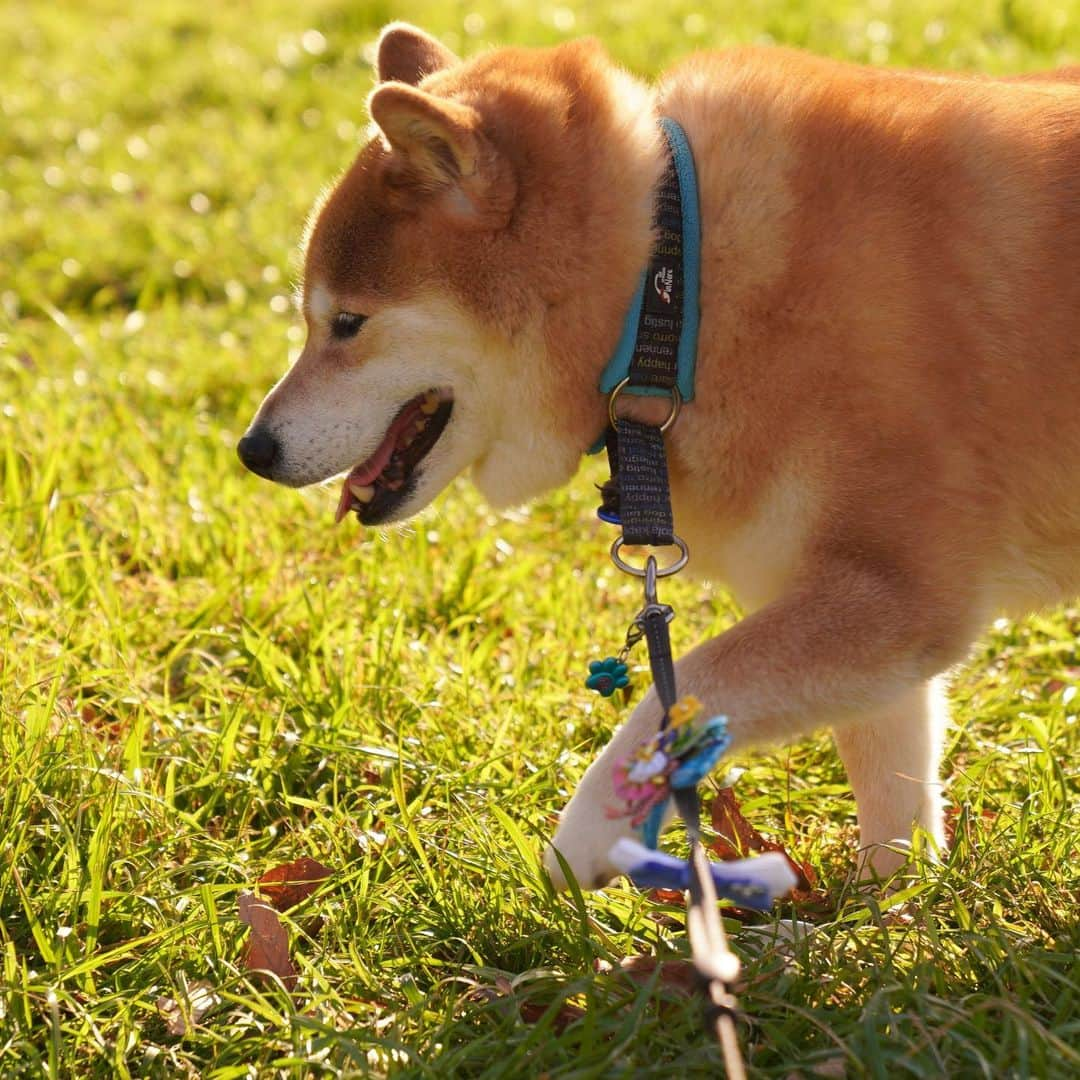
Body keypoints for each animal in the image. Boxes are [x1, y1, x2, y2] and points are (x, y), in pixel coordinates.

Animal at [238, 21, 1080, 889]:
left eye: (346, 323)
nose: (252, 448)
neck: (674, 288)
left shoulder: (899, 592)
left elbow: (683, 690)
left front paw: (592, 831)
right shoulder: (870, 609)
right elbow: (892, 797)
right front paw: (892, 907)